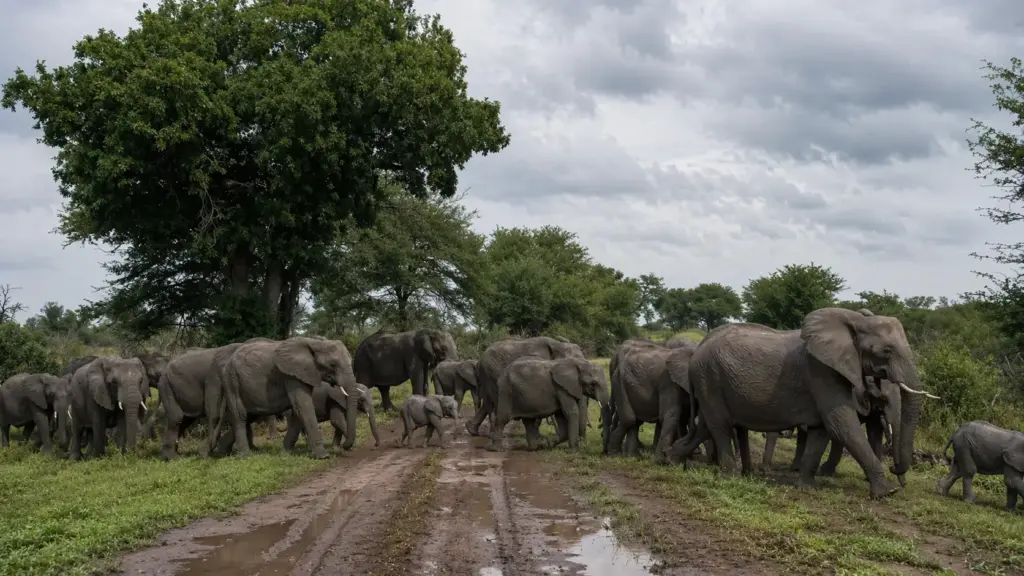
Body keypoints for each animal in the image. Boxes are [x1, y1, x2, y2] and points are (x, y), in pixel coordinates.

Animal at [215, 336, 357, 459]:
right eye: (332, 364)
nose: (345, 447)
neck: (313, 342)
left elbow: (298, 411)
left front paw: (286, 452)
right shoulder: (291, 375)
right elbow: (303, 406)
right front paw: (323, 456)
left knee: (249, 417)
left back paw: (222, 453)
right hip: (232, 382)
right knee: (240, 416)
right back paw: (244, 456)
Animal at [666, 309, 940, 499]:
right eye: (886, 351)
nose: (897, 471)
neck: (854, 320)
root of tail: (699, 347)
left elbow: (822, 430)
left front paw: (808, 486)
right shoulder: (821, 371)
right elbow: (842, 424)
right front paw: (887, 493)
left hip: (709, 382)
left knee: (706, 426)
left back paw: (670, 459)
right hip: (709, 377)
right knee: (719, 425)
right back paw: (729, 476)